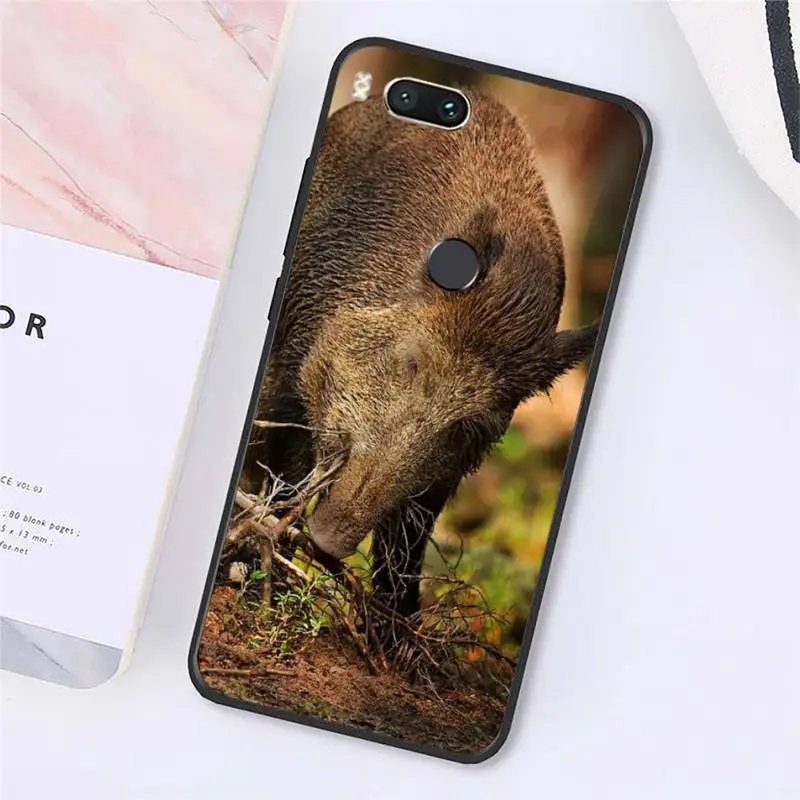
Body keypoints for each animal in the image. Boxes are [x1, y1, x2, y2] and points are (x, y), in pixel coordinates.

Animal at [241, 89, 598, 617]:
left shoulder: (443, 480)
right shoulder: (287, 361)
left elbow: (407, 540)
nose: (329, 541)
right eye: (411, 362)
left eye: (469, 426)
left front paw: (399, 624)